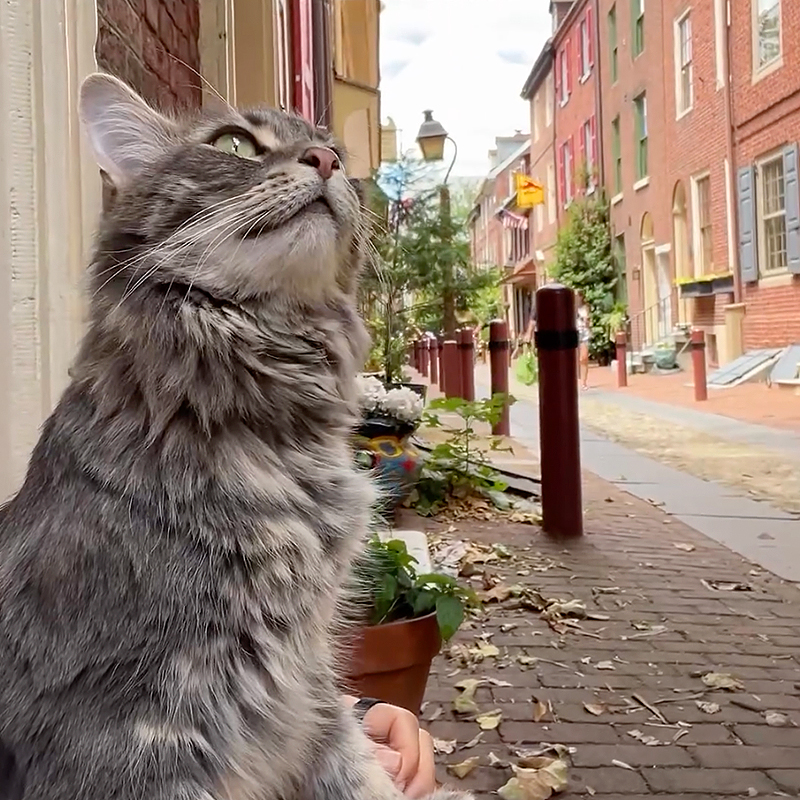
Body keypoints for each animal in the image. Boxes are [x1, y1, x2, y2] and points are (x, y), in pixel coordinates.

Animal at [0, 73, 468, 800]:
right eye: (233, 145)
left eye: (334, 150)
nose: (326, 161)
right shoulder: (132, 738)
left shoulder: (307, 690)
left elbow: (362, 774)